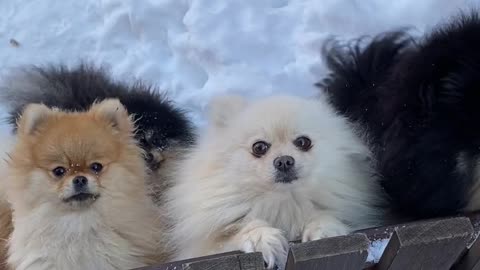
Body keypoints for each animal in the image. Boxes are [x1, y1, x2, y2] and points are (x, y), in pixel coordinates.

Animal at [167, 94, 384, 268]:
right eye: (259, 147)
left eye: (303, 142)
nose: (284, 161)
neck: (282, 201)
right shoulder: (205, 249)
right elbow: (239, 232)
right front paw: (263, 239)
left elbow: (324, 217)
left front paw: (326, 232)